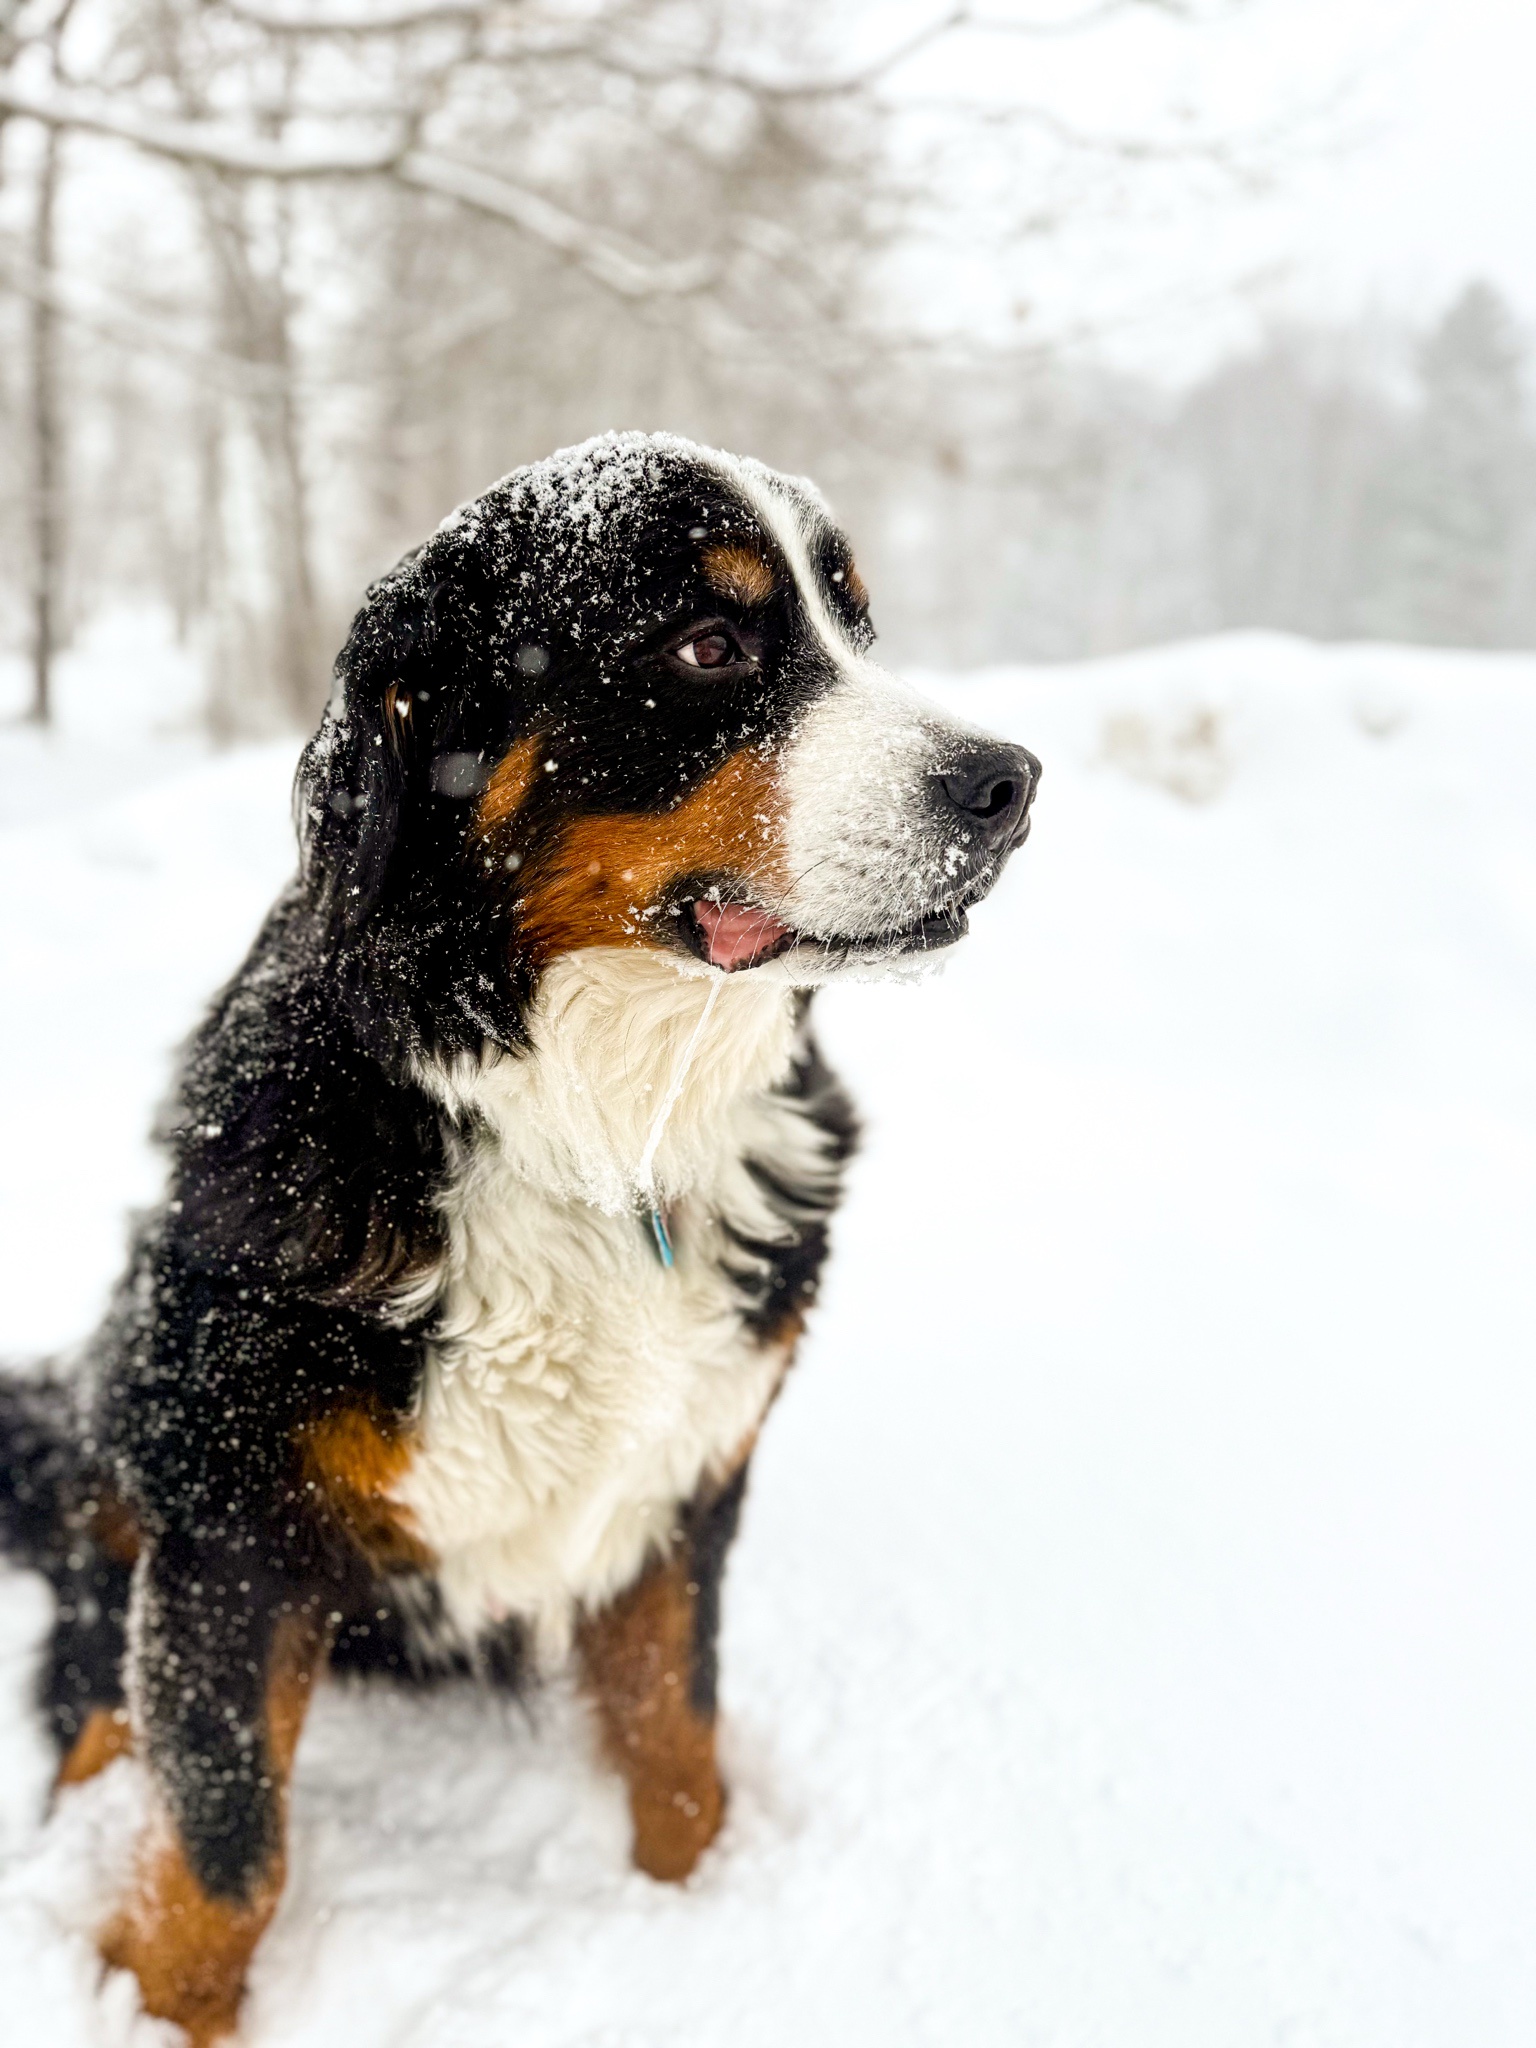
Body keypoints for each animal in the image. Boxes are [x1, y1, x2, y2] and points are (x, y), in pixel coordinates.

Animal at [0, 423, 1048, 2039]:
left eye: (854, 627)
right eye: (708, 644)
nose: (1008, 780)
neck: (598, 1137)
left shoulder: (686, 1483)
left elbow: (677, 1747)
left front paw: (691, 1916)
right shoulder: (233, 1518)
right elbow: (227, 1842)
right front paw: (154, 1998)